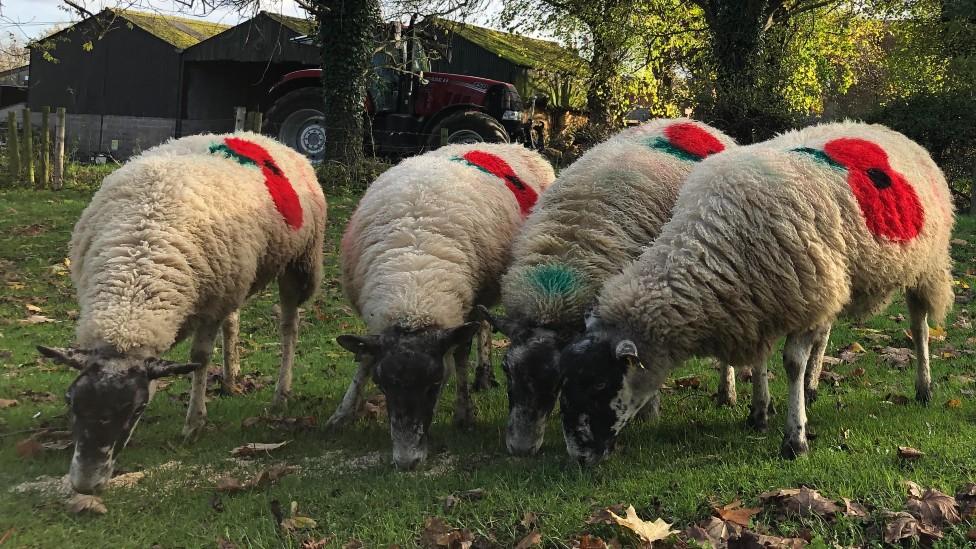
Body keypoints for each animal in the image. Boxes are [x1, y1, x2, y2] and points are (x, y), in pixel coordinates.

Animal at [36, 132, 326, 492]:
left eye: (137, 409)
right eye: (70, 401)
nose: (85, 484)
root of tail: (260, 136)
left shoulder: (211, 304)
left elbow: (199, 358)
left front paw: (194, 423)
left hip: (297, 263)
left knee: (289, 326)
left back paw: (280, 393)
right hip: (237, 276)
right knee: (234, 320)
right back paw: (230, 378)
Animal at [330, 143, 552, 468]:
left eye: (435, 384)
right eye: (382, 386)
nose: (407, 461)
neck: (413, 288)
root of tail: (510, 145)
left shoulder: (464, 308)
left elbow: (460, 354)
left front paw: (464, 414)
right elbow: (365, 358)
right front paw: (343, 413)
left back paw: (483, 375)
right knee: (484, 325)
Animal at [480, 117, 740, 456]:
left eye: (558, 380)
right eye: (506, 368)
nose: (520, 449)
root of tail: (691, 121)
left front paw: (649, 413)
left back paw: (727, 393)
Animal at [556, 122, 952, 464]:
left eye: (599, 384)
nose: (578, 457)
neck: (714, 241)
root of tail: (888, 130)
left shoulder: (797, 294)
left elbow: (791, 364)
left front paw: (795, 439)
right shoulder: (763, 299)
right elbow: (761, 361)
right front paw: (759, 413)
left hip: (925, 265)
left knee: (919, 328)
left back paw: (924, 387)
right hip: (837, 276)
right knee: (826, 331)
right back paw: (813, 386)